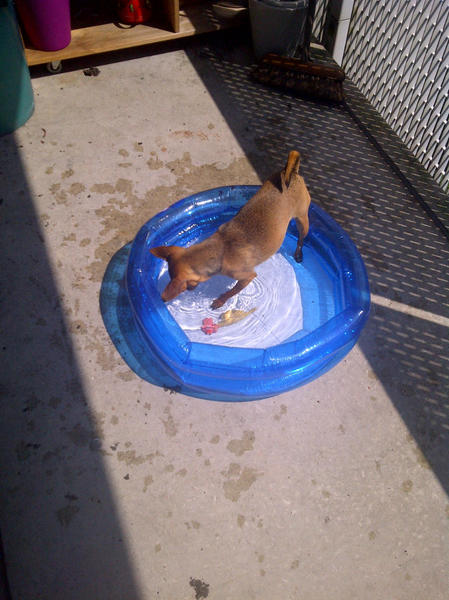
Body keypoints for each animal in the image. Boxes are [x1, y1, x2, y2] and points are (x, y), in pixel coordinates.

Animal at [149, 150, 310, 310]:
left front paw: (221, 300)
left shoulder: (247, 276)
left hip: (302, 219)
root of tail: (290, 173)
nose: (190, 289)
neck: (221, 249)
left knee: (301, 239)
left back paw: (299, 253)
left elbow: (232, 291)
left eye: (186, 285)